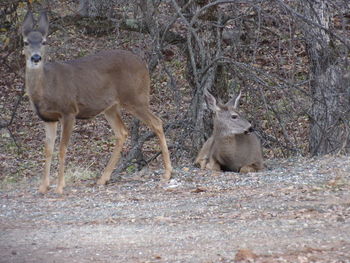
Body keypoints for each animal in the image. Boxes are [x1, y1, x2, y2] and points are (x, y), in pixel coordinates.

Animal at [21, 10, 172, 194]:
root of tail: (144, 65)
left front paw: (60, 186)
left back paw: (167, 173)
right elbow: (48, 149)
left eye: (44, 41)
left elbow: (62, 148)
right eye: (26, 42)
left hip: (135, 97)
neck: (46, 88)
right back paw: (103, 178)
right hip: (111, 106)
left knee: (156, 122)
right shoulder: (48, 118)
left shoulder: (69, 110)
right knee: (122, 132)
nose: (36, 57)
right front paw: (43, 187)